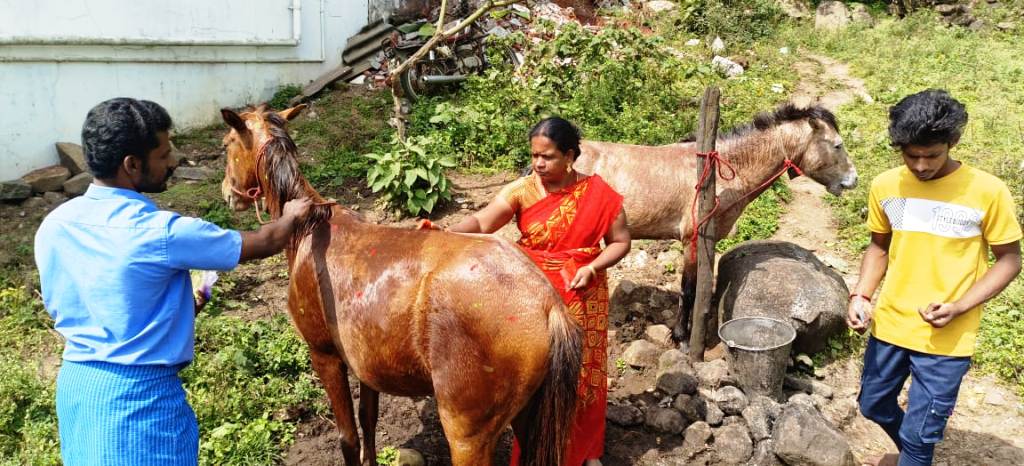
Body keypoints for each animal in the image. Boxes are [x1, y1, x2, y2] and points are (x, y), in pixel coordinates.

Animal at [218, 104, 583, 466]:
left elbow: (348, 438)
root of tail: (546, 304)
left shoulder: (324, 356)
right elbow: (368, 421)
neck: (311, 227)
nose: (227, 193)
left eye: (226, 144)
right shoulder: (364, 364)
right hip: (528, 418)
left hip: (467, 436)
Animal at [572, 104, 858, 342]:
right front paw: (680, 335)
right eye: (837, 145)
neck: (721, 173)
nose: (853, 180)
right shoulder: (692, 240)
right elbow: (689, 289)